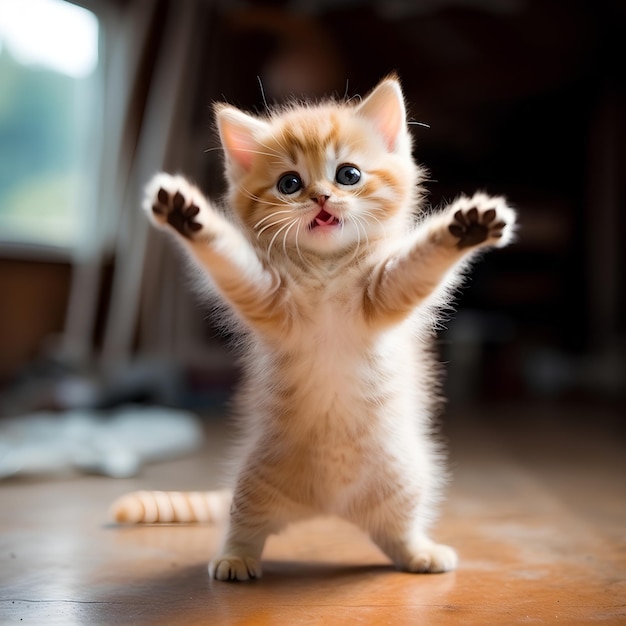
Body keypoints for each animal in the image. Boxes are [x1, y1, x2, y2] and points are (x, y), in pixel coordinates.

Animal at [109, 74, 516, 580]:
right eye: (290, 183)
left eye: (348, 175)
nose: (320, 197)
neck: (326, 271)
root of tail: (329, 508)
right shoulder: (266, 295)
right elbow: (229, 258)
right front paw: (189, 219)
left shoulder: (387, 291)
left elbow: (420, 264)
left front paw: (465, 230)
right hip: (255, 481)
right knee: (245, 524)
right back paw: (235, 558)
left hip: (406, 479)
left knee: (396, 533)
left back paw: (419, 552)